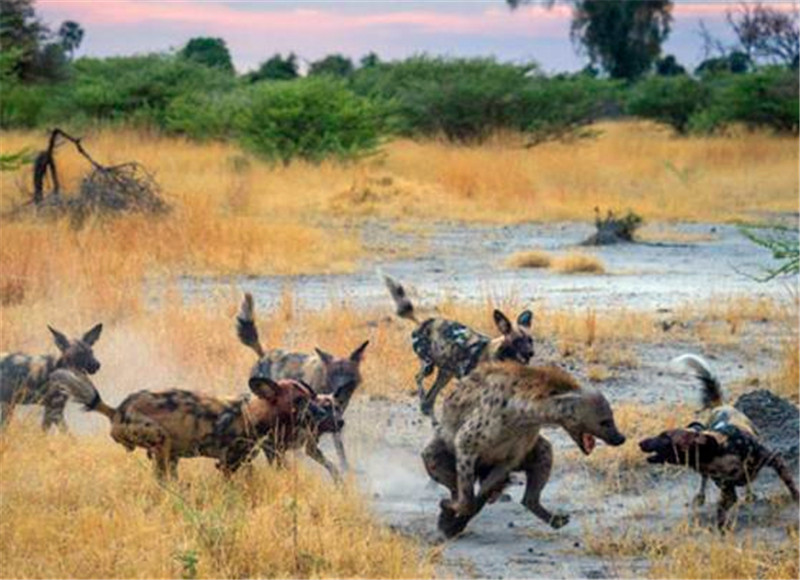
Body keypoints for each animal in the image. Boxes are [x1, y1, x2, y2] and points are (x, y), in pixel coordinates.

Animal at [49, 370, 338, 478]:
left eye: (312, 396)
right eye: (299, 401)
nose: (323, 413)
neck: (253, 413)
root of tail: (116, 409)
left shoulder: (244, 463)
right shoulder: (228, 465)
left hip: (170, 455)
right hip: (162, 445)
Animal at [233, 292, 368, 478]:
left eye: (349, 374)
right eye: (334, 374)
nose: (341, 388)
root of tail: (264, 355)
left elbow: (339, 450)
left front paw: (344, 468)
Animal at [382, 272, 532, 422]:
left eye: (530, 340)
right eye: (517, 341)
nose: (530, 353)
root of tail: (423, 323)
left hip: (445, 374)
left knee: (430, 400)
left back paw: (433, 419)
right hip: (428, 366)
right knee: (418, 379)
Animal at [418, 362, 624, 540]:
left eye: (612, 418)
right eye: (605, 422)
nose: (621, 438)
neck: (520, 416)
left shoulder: (511, 457)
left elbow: (480, 495)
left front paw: (453, 524)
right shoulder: (466, 443)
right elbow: (468, 499)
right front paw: (449, 517)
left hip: (537, 450)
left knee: (529, 489)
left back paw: (555, 519)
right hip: (435, 452)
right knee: (452, 483)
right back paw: (448, 507)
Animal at [636, 354, 800, 532]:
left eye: (665, 437)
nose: (640, 442)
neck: (724, 450)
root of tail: (721, 406)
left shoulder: (775, 459)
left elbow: (790, 483)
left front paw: (796, 499)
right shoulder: (727, 490)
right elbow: (721, 511)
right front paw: (722, 529)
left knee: (748, 483)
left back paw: (750, 494)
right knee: (704, 480)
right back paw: (701, 497)